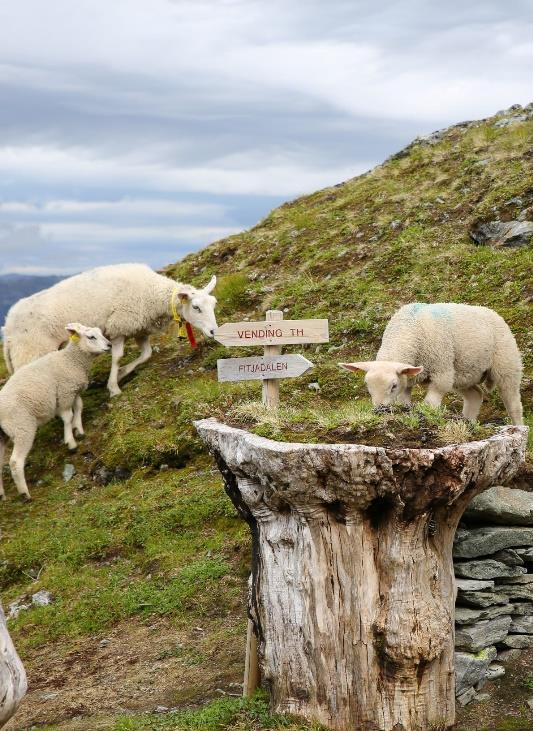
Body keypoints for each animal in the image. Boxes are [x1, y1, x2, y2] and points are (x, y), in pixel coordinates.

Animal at [0, 324, 110, 500]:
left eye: (100, 333)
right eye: (91, 337)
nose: (109, 345)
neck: (70, 360)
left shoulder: (74, 390)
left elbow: (79, 407)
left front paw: (79, 430)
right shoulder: (65, 393)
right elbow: (67, 416)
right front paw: (71, 442)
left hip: (2, 435)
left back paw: (1, 494)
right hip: (23, 427)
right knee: (15, 462)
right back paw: (25, 494)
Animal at [2, 264, 217, 398]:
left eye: (214, 303)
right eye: (196, 307)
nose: (214, 331)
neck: (152, 293)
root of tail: (8, 326)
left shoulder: (139, 329)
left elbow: (146, 354)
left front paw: (121, 374)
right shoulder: (119, 327)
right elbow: (117, 356)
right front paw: (114, 387)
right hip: (31, 351)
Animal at [338, 304, 520, 426]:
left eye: (393, 386)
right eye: (367, 385)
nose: (379, 410)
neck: (408, 329)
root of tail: (492, 312)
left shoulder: (441, 371)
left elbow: (431, 402)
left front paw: (427, 414)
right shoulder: (408, 378)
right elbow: (404, 401)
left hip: (507, 363)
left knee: (513, 402)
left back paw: (518, 427)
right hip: (463, 372)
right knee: (475, 394)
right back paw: (468, 420)